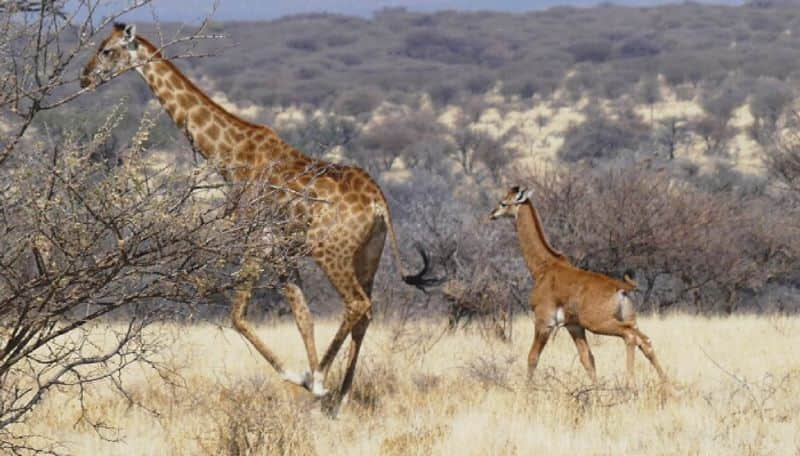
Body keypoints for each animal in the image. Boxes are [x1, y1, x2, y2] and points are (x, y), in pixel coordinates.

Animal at [83, 23, 438, 416]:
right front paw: (313, 382)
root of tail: (379, 202)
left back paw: (323, 381)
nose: (85, 77)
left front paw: (306, 378)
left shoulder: (255, 238)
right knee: (366, 313)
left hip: (329, 249)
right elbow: (303, 316)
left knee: (357, 305)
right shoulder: (282, 248)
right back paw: (340, 398)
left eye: (107, 51)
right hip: (367, 255)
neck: (231, 155)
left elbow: (237, 315)